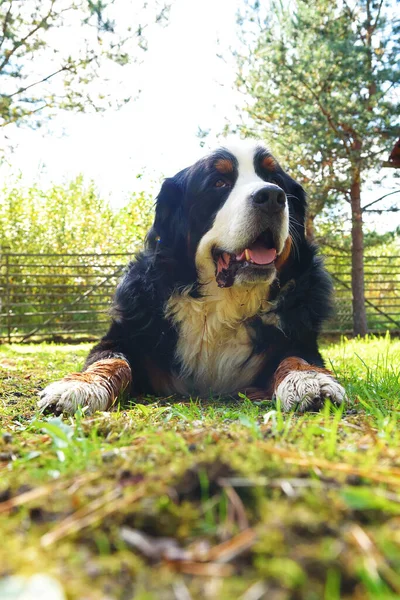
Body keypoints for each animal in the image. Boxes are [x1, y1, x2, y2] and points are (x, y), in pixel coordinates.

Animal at [39, 138, 348, 414]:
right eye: (219, 183)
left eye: (276, 180)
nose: (272, 196)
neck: (223, 303)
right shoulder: (126, 335)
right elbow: (111, 359)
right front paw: (79, 386)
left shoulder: (298, 337)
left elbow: (296, 357)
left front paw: (310, 380)